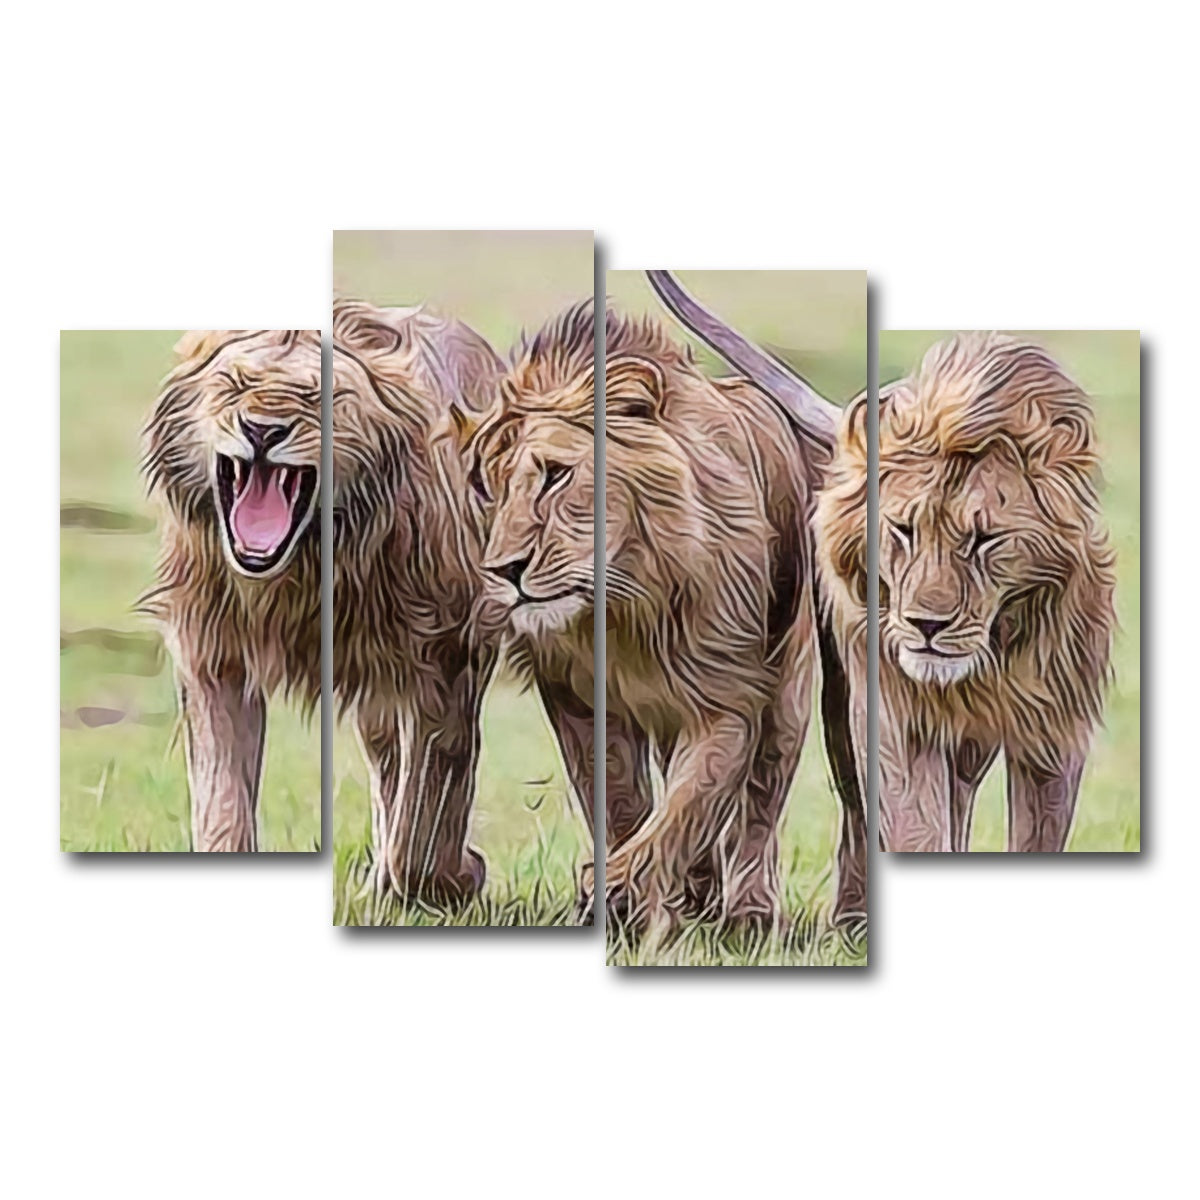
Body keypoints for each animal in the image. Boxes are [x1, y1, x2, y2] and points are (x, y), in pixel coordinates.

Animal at [141, 306, 504, 888]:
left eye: (318, 396)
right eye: (236, 383)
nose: (262, 430)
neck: (300, 573)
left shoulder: (448, 657)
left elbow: (428, 811)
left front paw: (453, 877)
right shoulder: (214, 657)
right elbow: (222, 798)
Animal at [467, 293, 866, 932]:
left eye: (555, 475)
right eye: (489, 487)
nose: (505, 570)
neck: (624, 602)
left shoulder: (730, 695)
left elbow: (689, 803)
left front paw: (618, 890)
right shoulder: (577, 698)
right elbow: (621, 800)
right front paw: (627, 896)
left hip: (796, 687)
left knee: (768, 799)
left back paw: (758, 913)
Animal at [816, 333, 1117, 852]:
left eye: (985, 539)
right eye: (903, 529)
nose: (926, 626)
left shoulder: (1055, 735)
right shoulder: (899, 724)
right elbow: (918, 830)